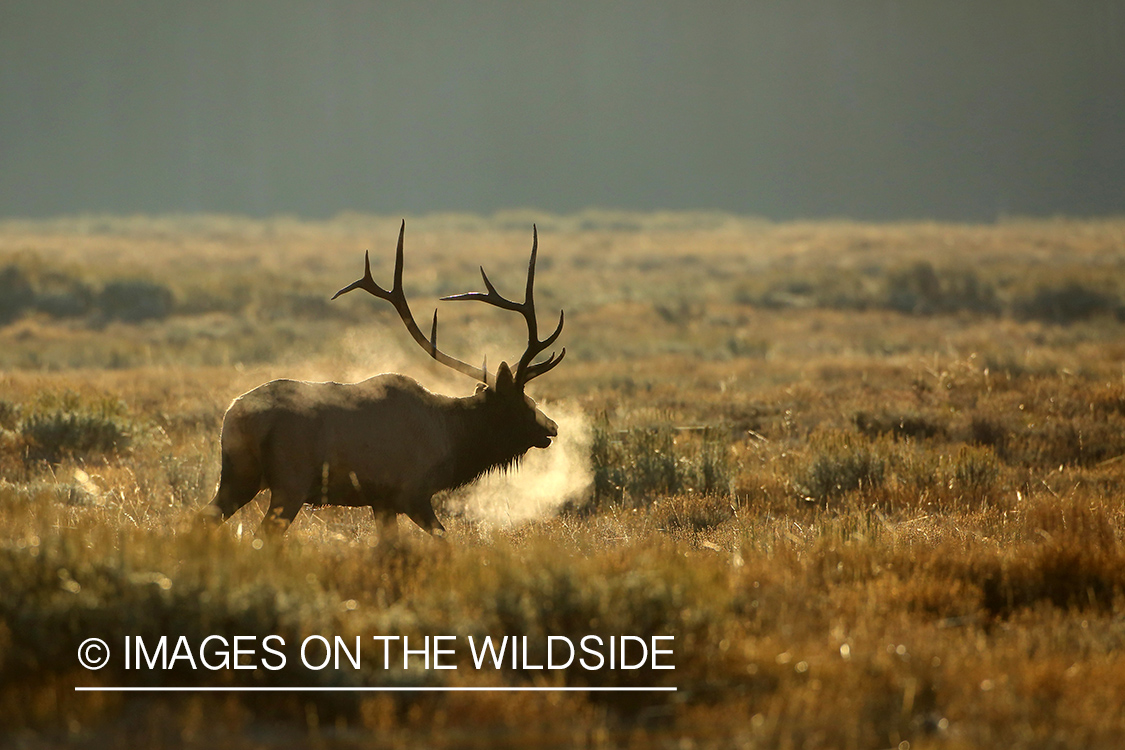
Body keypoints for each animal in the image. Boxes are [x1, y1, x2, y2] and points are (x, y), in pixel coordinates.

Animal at [204, 220, 562, 537]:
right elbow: (443, 539)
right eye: (524, 402)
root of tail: (233, 414)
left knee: (203, 519)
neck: (452, 439)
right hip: (289, 482)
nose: (552, 427)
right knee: (262, 536)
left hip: (239, 476)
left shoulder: (381, 502)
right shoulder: (411, 493)